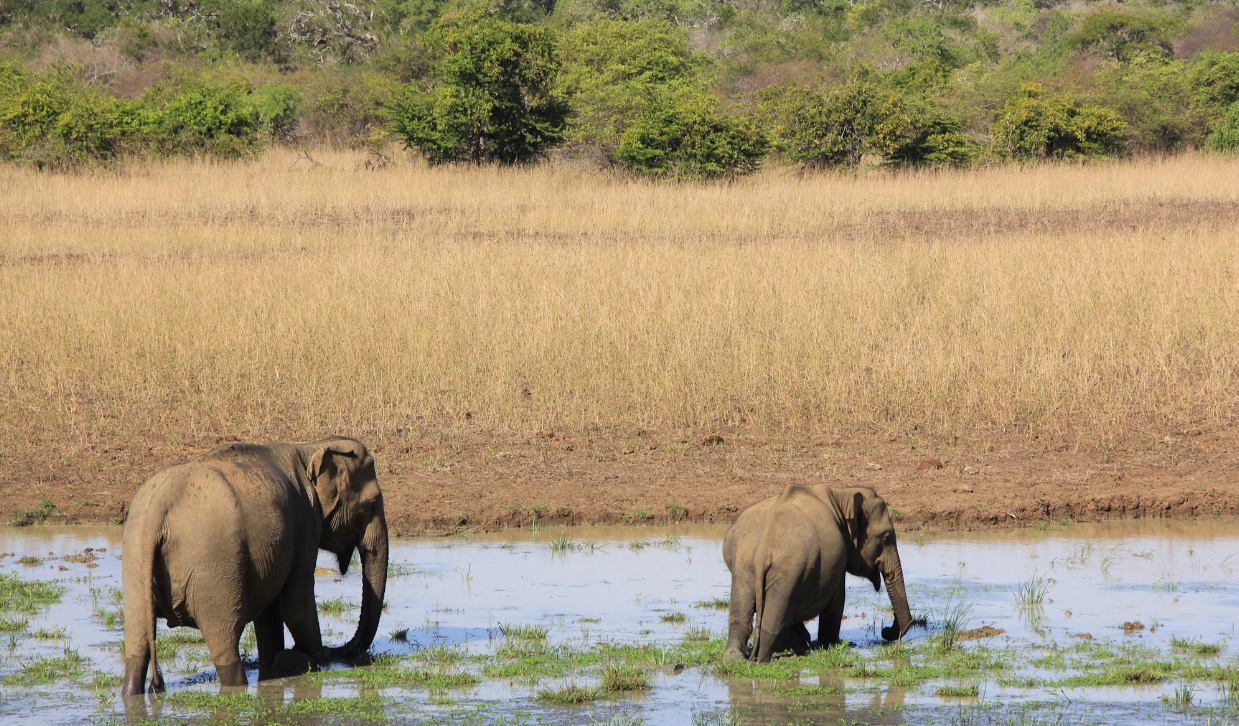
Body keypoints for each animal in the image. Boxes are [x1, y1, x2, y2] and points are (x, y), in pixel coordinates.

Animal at [121, 433, 389, 693]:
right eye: (371, 505)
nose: (336, 651)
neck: (311, 446)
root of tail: (159, 509)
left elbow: (270, 611)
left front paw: (275, 667)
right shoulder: (305, 521)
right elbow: (296, 603)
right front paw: (301, 659)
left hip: (135, 557)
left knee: (137, 640)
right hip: (212, 568)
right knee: (225, 639)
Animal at [723, 483, 916, 659]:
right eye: (886, 537)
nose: (885, 631)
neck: (842, 494)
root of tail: (763, 551)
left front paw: (804, 641)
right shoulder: (838, 559)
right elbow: (837, 600)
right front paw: (830, 644)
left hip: (744, 565)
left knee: (743, 612)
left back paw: (736, 658)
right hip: (788, 569)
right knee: (774, 616)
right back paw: (763, 660)